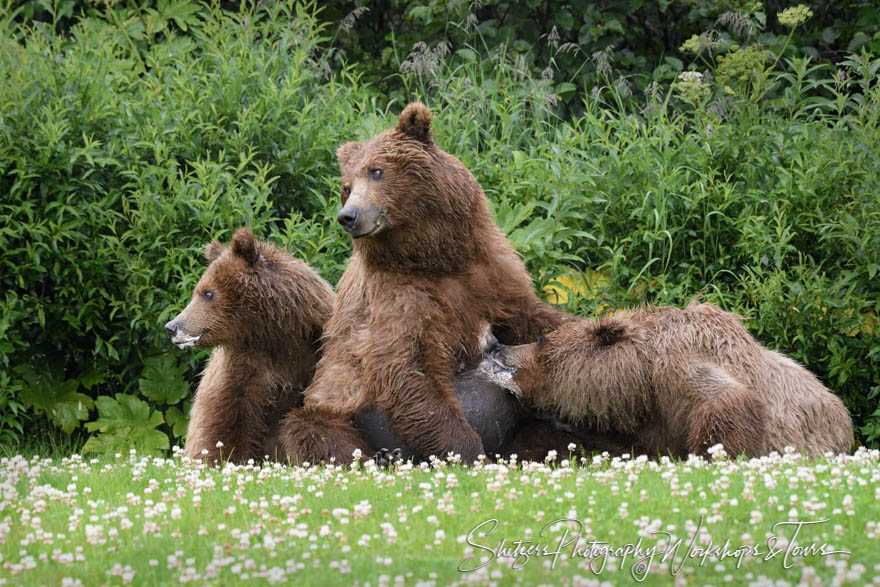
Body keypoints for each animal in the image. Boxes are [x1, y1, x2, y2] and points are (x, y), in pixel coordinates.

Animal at [482, 304, 852, 460]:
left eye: (542, 339)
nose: (498, 346)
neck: (641, 375)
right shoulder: (659, 412)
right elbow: (644, 444)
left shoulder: (678, 372)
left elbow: (730, 403)